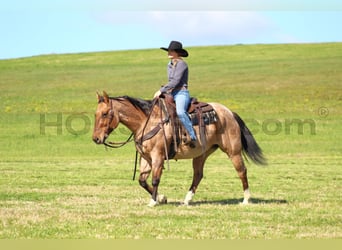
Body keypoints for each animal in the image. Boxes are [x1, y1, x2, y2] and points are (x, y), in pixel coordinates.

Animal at [92, 92, 266, 207]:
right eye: (96, 114)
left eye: (105, 113)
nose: (96, 139)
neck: (147, 121)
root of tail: (229, 112)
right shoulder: (146, 158)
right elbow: (142, 180)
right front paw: (161, 198)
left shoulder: (158, 157)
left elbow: (155, 179)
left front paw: (153, 202)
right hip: (201, 154)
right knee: (198, 175)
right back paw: (187, 200)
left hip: (233, 151)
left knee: (242, 171)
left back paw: (246, 199)